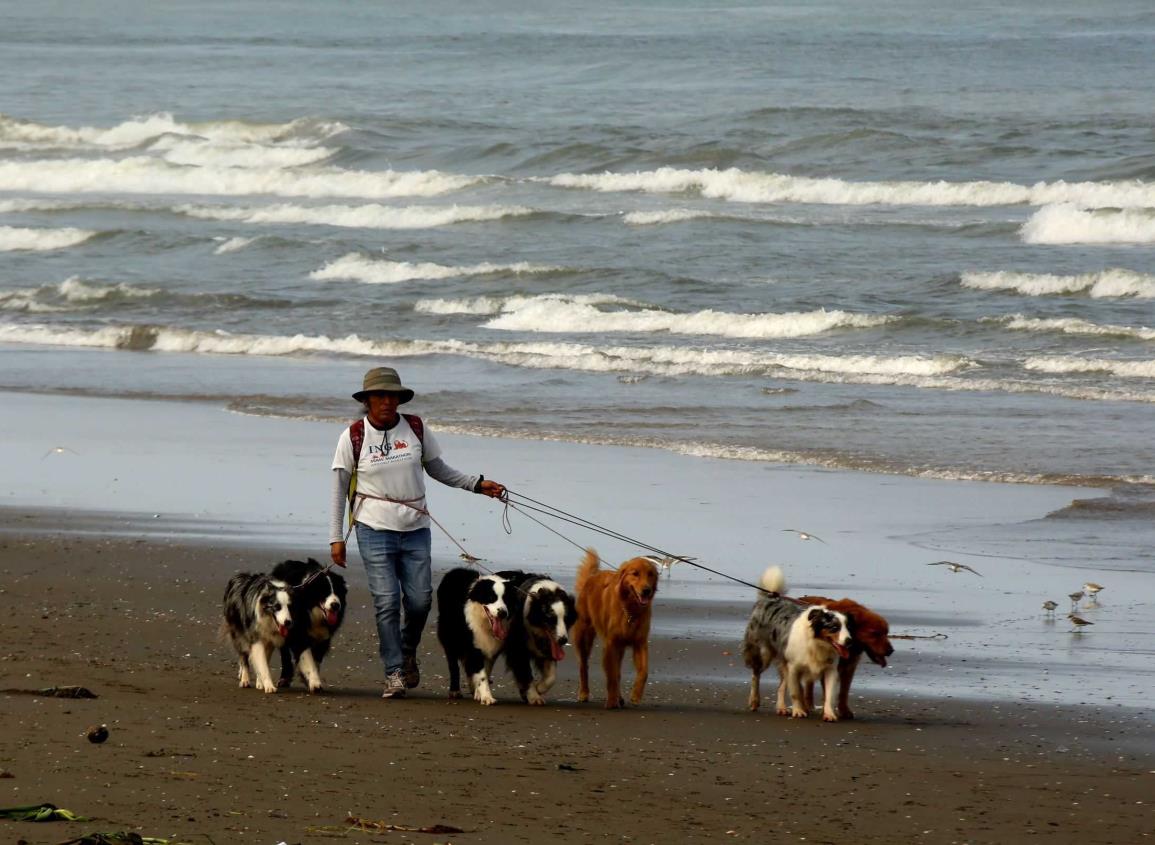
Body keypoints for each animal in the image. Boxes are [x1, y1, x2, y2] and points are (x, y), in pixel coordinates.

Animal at [570, 547, 660, 706]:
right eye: (635, 573)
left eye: (651, 574)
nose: (646, 590)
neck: (630, 610)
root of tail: (590, 578)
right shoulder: (611, 644)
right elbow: (611, 676)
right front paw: (611, 701)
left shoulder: (640, 643)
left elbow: (643, 672)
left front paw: (635, 695)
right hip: (583, 637)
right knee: (583, 666)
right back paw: (584, 693)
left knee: (617, 672)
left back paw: (620, 697)